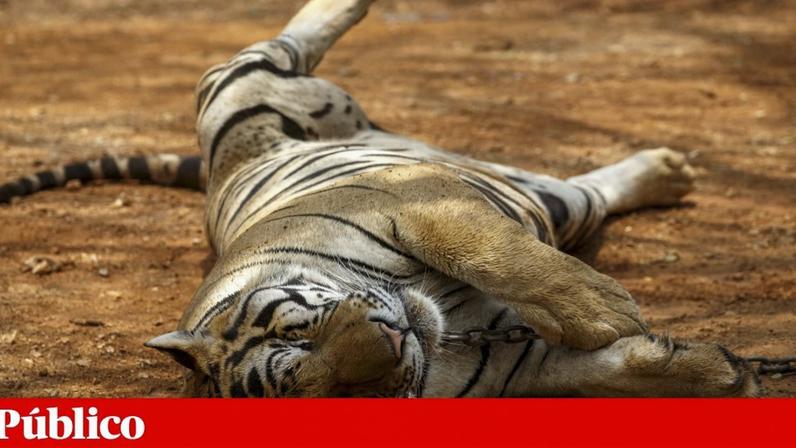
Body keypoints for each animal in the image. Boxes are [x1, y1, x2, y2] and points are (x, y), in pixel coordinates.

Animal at [0, 0, 760, 397]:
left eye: (294, 332)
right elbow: (610, 371)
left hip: (238, 97)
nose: (393, 340)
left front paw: (601, 310)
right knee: (591, 190)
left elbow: (494, 253)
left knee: (265, 48)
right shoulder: (525, 366)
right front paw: (724, 374)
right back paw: (668, 172)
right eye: (326, 390)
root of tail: (225, 169)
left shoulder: (412, 202)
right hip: (559, 202)